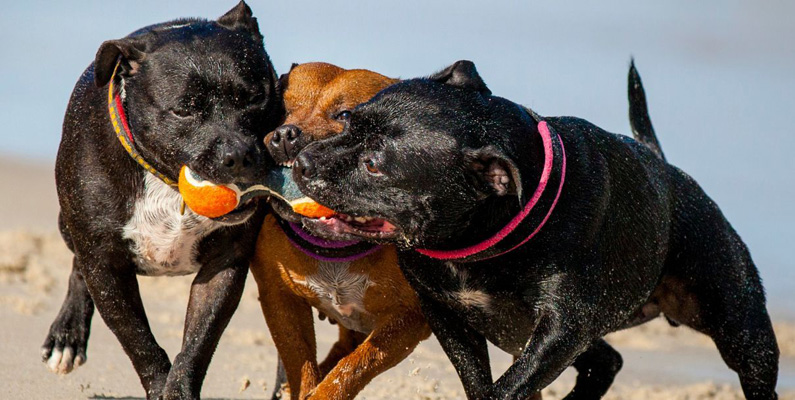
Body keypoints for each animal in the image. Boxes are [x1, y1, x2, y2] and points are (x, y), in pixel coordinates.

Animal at [41, 2, 282, 396]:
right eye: (183, 110)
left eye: (253, 97)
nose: (237, 155)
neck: (168, 185)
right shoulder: (105, 266)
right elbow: (139, 341)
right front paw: (159, 384)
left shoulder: (226, 263)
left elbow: (198, 342)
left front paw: (179, 388)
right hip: (69, 225)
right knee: (78, 266)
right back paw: (67, 337)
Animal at [252, 63, 432, 400]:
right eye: (280, 109)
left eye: (346, 115)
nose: (284, 135)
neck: (338, 244)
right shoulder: (280, 299)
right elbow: (301, 363)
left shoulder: (409, 320)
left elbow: (353, 367)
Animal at [290, 61, 776, 398]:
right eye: (348, 120)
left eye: (375, 164)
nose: (302, 162)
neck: (478, 244)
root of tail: (664, 167)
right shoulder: (445, 314)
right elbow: (479, 381)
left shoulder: (562, 330)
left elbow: (507, 387)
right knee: (606, 363)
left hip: (744, 332)